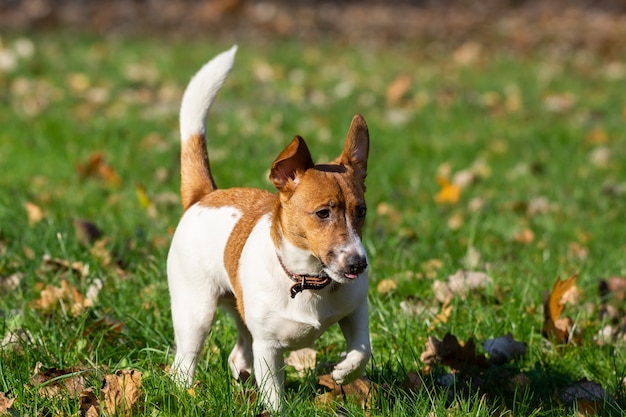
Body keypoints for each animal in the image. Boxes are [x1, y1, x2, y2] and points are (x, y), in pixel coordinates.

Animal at [166, 45, 370, 410]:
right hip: (195, 312)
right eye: (323, 213)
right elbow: (274, 393)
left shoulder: (357, 309)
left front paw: (343, 372)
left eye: (360, 211)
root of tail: (205, 195)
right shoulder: (268, 348)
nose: (359, 264)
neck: (308, 279)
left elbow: (363, 349)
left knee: (237, 355)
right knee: (184, 362)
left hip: (238, 310)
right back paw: (186, 393)